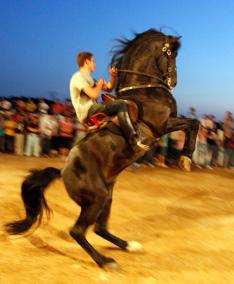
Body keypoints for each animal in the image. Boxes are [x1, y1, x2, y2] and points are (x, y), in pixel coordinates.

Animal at [5, 28, 199, 270]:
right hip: (96, 198)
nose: (173, 81)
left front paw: (186, 159)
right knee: (77, 231)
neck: (145, 90)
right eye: (170, 53)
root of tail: (63, 172)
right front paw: (185, 158)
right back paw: (106, 261)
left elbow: (194, 123)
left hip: (107, 196)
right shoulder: (162, 125)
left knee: (99, 228)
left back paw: (128, 245)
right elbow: (194, 123)